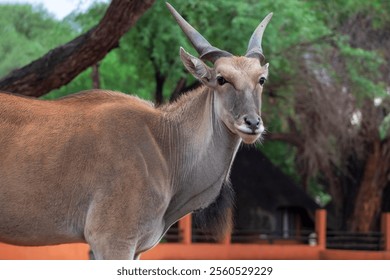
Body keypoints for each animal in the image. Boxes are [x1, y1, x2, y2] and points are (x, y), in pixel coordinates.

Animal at [0, 3, 272, 260]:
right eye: (221, 79)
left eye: (261, 79)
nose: (252, 123)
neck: (163, 144)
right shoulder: (112, 240)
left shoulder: (133, 248)